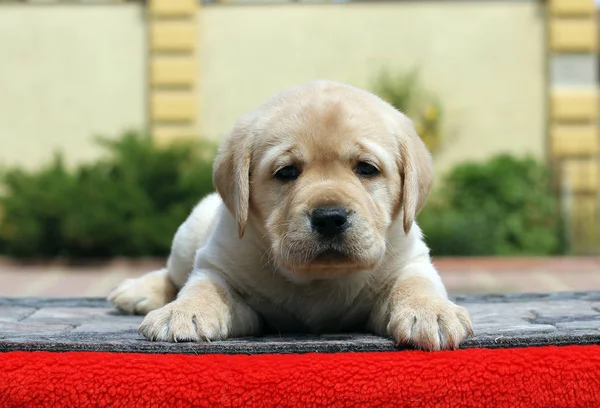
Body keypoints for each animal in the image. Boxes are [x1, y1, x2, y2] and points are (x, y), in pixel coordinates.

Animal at [108, 79, 474, 350]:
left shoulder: (410, 261)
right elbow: (205, 287)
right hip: (189, 235)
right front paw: (185, 311)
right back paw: (140, 291)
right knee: (173, 274)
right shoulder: (219, 266)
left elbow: (414, 284)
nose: (330, 217)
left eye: (367, 169)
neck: (318, 280)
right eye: (286, 172)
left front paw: (431, 312)